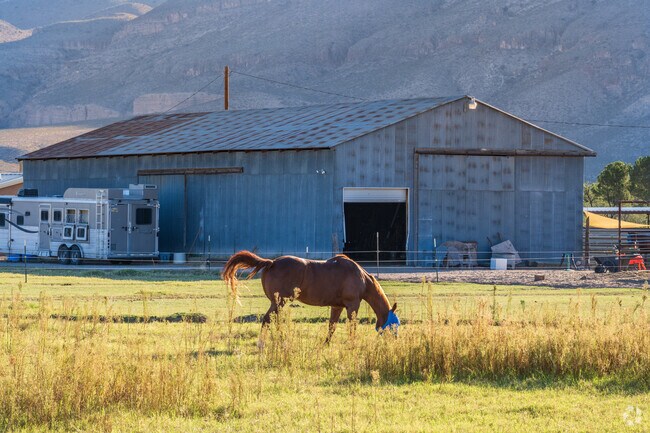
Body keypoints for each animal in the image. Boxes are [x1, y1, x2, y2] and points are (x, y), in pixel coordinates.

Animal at [222, 251, 400, 342]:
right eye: (394, 324)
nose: (395, 341)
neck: (360, 277)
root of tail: (271, 262)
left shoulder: (337, 307)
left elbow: (332, 326)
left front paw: (326, 343)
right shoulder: (352, 306)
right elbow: (352, 326)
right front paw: (352, 342)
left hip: (279, 303)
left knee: (274, 320)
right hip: (279, 303)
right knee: (267, 320)